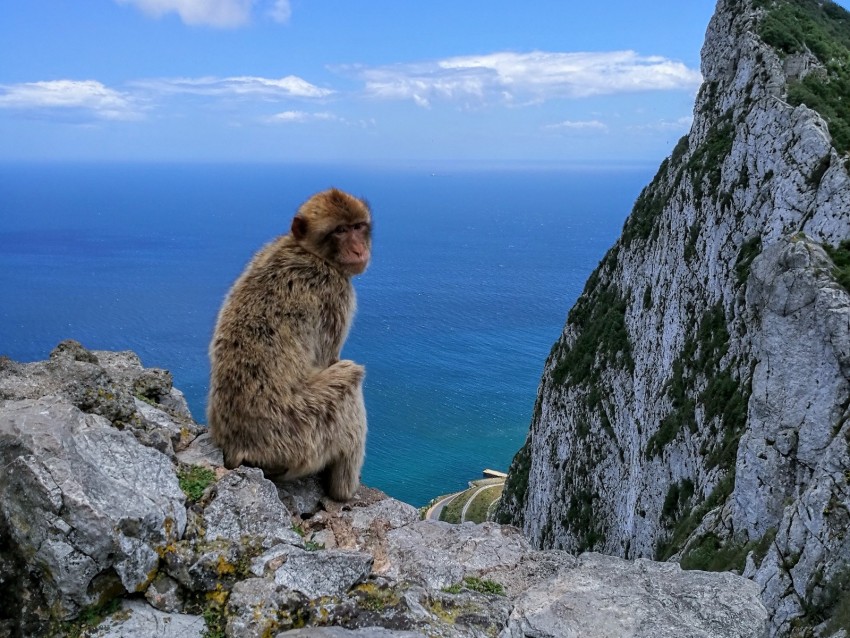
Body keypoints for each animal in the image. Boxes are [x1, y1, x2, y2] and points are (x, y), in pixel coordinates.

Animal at [207, 188, 370, 502]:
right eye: (340, 231)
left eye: (358, 227)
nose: (359, 250)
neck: (307, 251)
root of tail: (239, 449)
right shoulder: (335, 292)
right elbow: (330, 359)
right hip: (301, 433)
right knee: (349, 380)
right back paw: (344, 491)